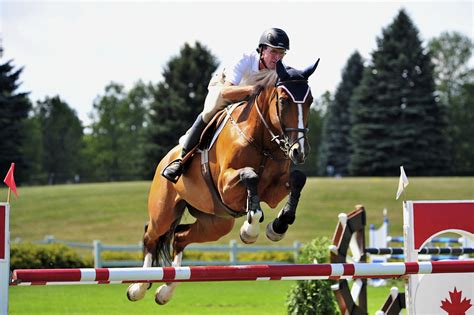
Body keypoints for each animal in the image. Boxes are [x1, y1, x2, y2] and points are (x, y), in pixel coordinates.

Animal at [127, 58, 318, 304]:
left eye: (310, 101)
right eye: (284, 101)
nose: (299, 151)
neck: (263, 140)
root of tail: (165, 158)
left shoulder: (273, 190)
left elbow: (297, 179)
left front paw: (278, 226)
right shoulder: (226, 186)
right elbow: (250, 175)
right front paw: (250, 230)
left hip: (216, 223)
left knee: (179, 237)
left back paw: (165, 292)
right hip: (164, 212)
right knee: (151, 236)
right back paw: (138, 287)